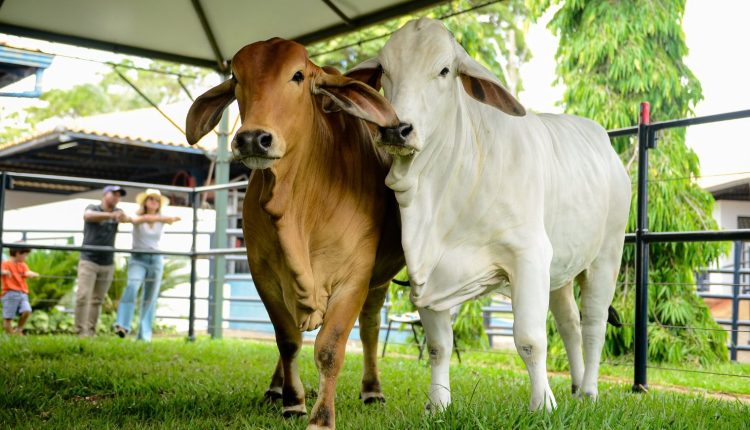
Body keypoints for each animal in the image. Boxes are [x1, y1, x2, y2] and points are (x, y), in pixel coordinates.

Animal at [187, 37, 406, 430]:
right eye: (236, 78)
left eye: (298, 75)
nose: (252, 139)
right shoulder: (263, 274)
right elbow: (287, 340)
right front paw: (293, 402)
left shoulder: (355, 276)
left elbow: (330, 348)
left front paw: (322, 416)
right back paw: (276, 389)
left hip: (379, 281)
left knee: (369, 328)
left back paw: (372, 390)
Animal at [352, 18, 636, 412]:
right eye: (385, 71)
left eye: (444, 70)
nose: (396, 129)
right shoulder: (426, 271)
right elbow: (439, 345)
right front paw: (438, 404)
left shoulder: (529, 256)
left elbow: (530, 339)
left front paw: (542, 404)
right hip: (560, 271)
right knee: (570, 324)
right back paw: (577, 387)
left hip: (607, 255)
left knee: (594, 322)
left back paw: (591, 391)